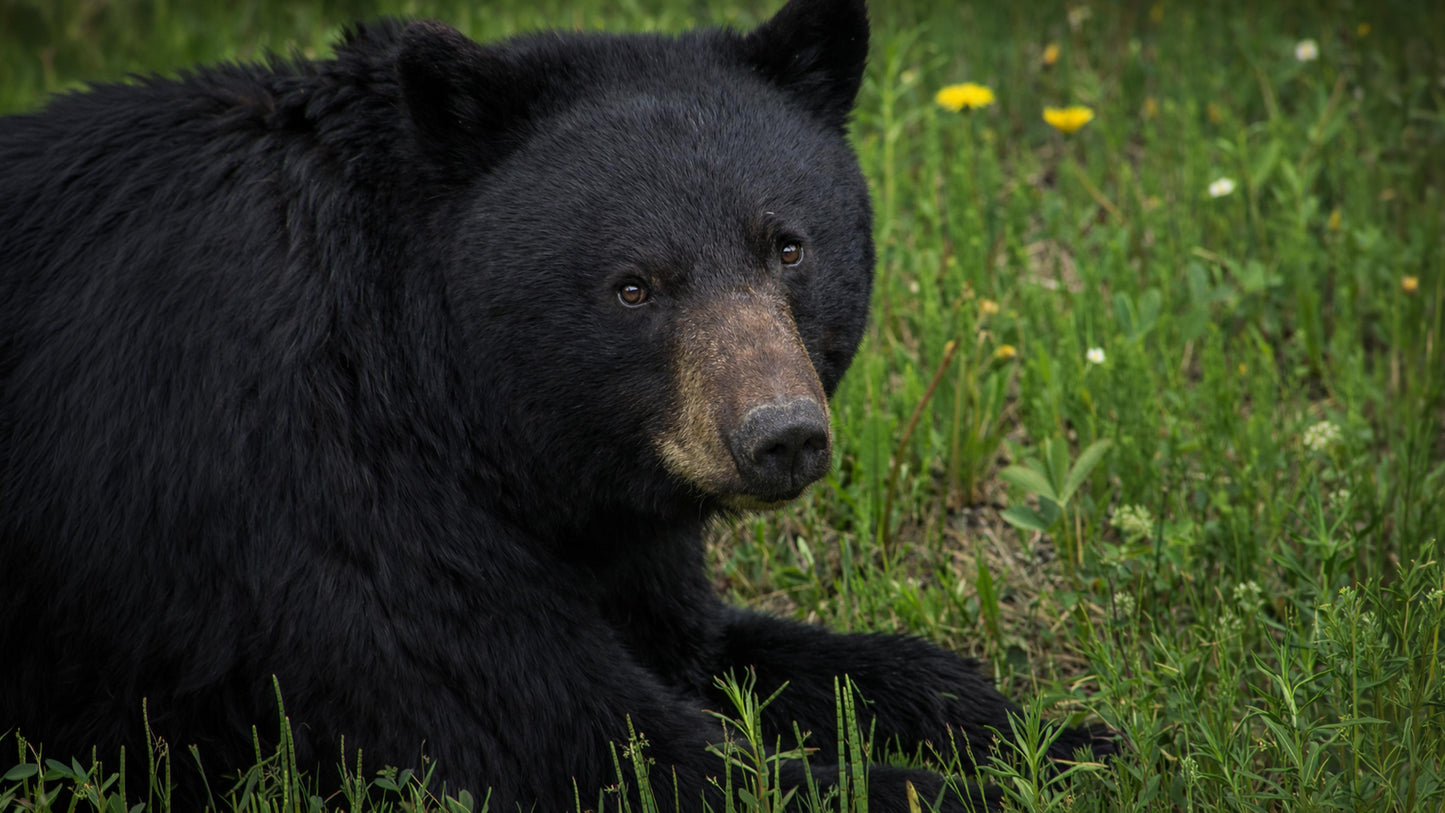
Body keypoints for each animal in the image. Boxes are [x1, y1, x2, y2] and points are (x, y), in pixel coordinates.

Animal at [0, 0, 1110, 810]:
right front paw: (951, 788)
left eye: (787, 244)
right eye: (633, 286)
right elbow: (562, 732)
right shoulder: (309, 492)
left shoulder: (602, 512)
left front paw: (1056, 734)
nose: (780, 437)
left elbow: (717, 648)